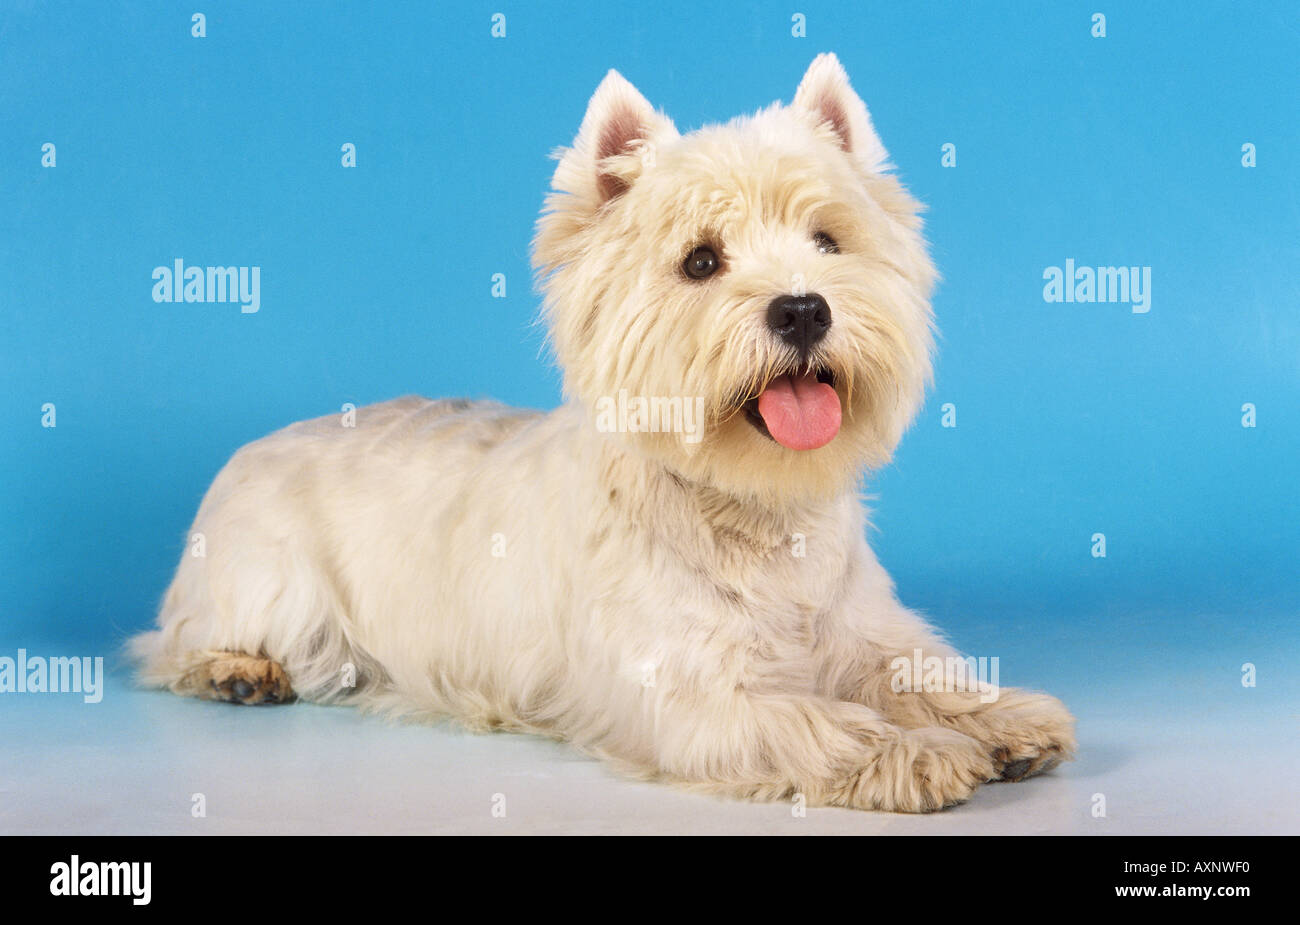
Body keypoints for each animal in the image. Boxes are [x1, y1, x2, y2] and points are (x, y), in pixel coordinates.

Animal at [131, 54, 1071, 810]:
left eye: (828, 240)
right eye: (701, 260)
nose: (804, 308)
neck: (754, 509)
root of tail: (258, 444)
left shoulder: (863, 632)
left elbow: (917, 671)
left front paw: (1003, 717)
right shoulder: (700, 697)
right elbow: (822, 722)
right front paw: (919, 753)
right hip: (267, 579)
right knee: (173, 642)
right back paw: (239, 671)